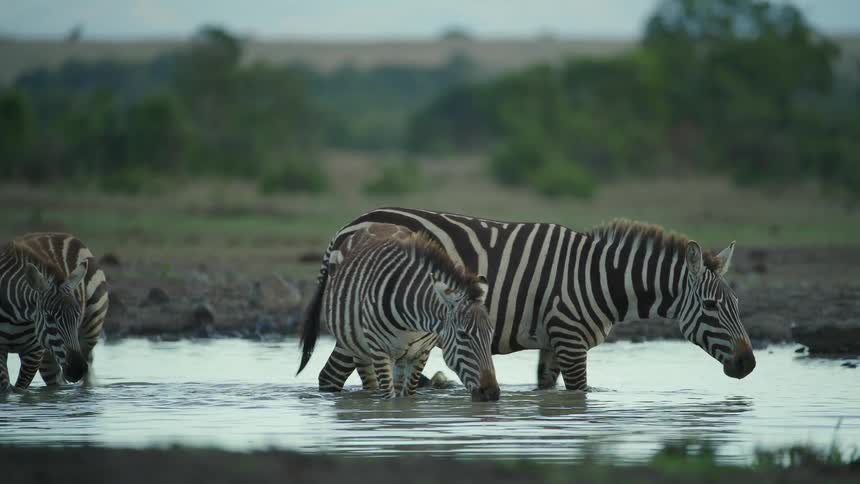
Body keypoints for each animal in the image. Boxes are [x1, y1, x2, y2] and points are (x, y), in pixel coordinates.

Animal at [0, 233, 109, 392]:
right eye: (49, 318)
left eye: (77, 317)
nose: (77, 370)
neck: (15, 319)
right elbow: (7, 389)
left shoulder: (33, 353)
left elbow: (20, 389)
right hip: (49, 356)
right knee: (56, 381)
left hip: (92, 326)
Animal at [297, 223, 500, 401]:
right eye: (463, 335)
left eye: (491, 334)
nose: (492, 394)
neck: (413, 324)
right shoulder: (380, 351)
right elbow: (389, 399)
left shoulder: (421, 353)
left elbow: (407, 398)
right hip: (354, 343)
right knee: (340, 378)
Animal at [308, 208, 755, 392]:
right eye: (712, 307)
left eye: (737, 306)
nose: (749, 364)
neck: (596, 278)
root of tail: (348, 225)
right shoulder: (570, 339)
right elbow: (579, 392)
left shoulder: (554, 342)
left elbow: (547, 390)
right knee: (329, 377)